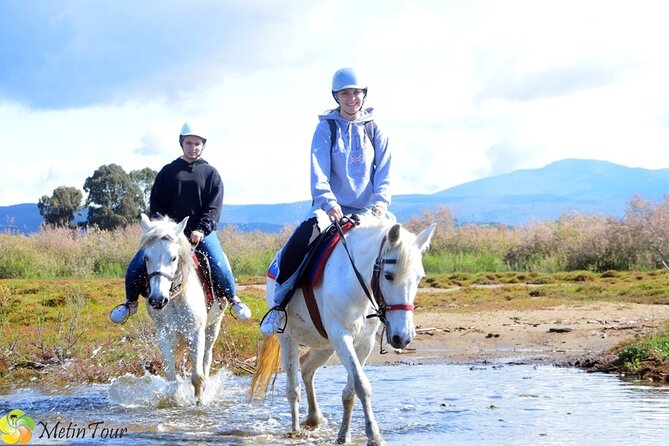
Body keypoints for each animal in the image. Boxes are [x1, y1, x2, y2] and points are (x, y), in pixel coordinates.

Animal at [139, 213, 227, 404]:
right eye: (146, 258)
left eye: (173, 258)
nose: (157, 300)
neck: (175, 298)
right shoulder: (164, 334)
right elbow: (171, 378)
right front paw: (171, 402)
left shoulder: (196, 332)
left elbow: (198, 377)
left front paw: (199, 403)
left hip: (213, 327)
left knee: (207, 357)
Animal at [249, 214, 434, 444]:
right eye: (389, 276)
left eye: (419, 277)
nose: (404, 337)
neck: (355, 283)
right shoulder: (341, 336)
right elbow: (362, 386)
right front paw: (374, 435)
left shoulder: (364, 343)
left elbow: (351, 391)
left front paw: (344, 435)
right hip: (289, 338)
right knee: (293, 387)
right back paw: (296, 430)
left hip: (325, 345)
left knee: (307, 367)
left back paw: (314, 417)